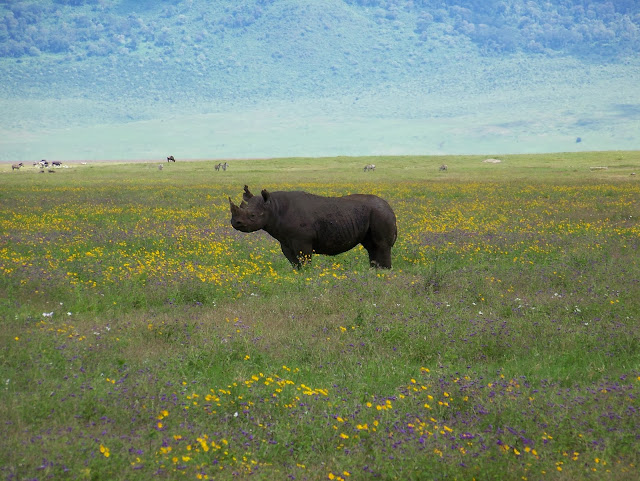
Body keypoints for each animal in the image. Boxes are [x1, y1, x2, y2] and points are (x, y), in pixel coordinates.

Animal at [230, 185, 398, 268]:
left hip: (380, 213)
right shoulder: (285, 242)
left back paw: (383, 274)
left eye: (252, 216)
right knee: (372, 247)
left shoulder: (302, 241)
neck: (273, 207)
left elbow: (305, 262)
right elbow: (295, 263)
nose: (235, 223)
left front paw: (307, 279)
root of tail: (389, 207)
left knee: (381, 245)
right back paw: (375, 272)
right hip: (374, 214)